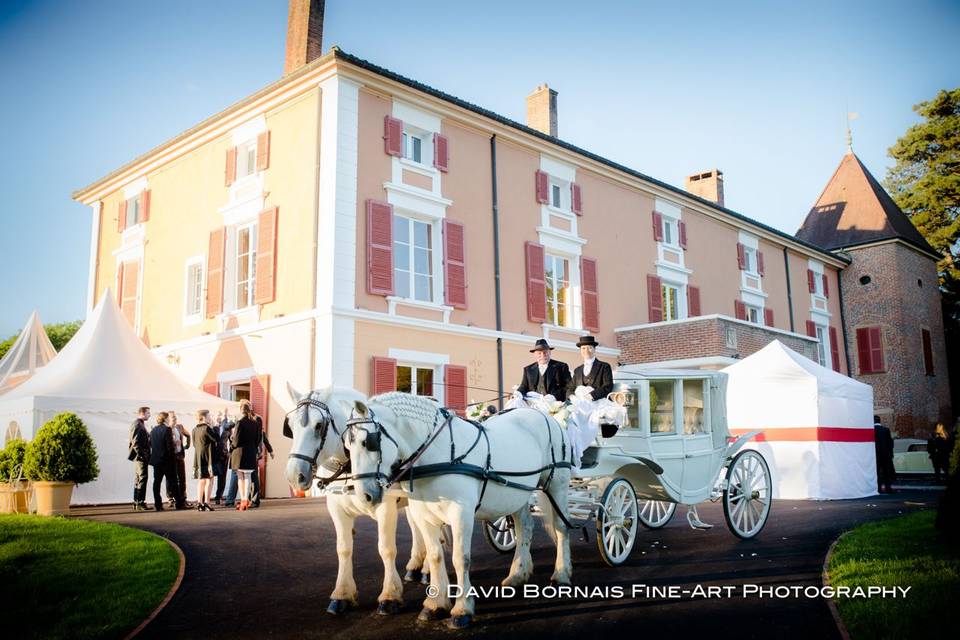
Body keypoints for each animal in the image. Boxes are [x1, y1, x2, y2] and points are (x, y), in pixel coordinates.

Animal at [282, 384, 424, 616]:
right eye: (290, 427)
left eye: (319, 425)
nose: (295, 476)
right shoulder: (337, 510)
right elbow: (343, 548)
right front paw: (342, 594)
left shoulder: (386, 508)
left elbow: (386, 549)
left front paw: (390, 595)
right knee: (417, 526)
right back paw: (417, 567)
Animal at [344, 392, 572, 628]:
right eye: (347, 447)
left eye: (367, 443)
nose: (364, 496)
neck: (439, 453)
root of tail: (545, 416)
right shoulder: (423, 516)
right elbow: (435, 556)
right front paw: (435, 605)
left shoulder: (461, 513)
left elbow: (460, 558)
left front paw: (462, 610)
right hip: (518, 493)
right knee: (524, 527)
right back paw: (518, 574)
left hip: (557, 485)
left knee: (561, 527)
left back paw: (561, 574)